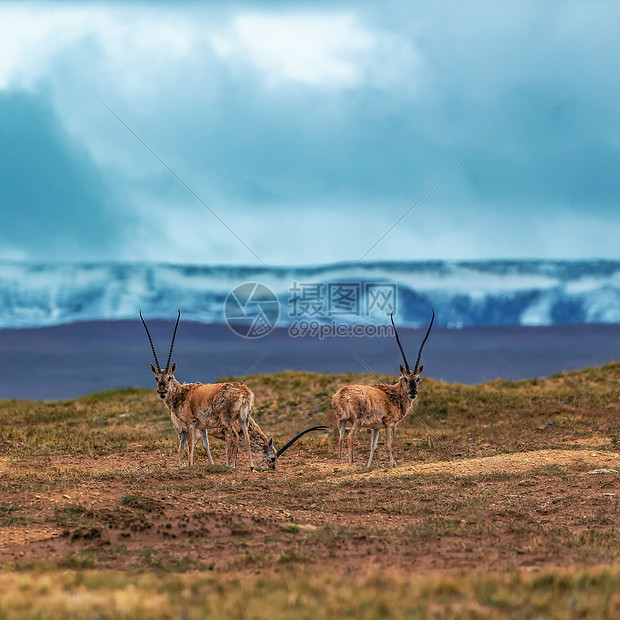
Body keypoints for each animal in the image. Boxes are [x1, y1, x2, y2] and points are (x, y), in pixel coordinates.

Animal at [140, 312, 254, 468]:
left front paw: (190, 465)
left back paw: (231, 466)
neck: (183, 394)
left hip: (228, 421)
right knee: (247, 438)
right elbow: (204, 445)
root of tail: (244, 392)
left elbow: (190, 446)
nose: (162, 392)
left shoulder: (191, 424)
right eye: (156, 378)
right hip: (244, 419)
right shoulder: (202, 427)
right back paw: (251, 466)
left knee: (235, 437)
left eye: (170, 377)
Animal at [332, 312, 434, 468]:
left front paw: (369, 466)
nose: (413, 392)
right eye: (405, 378)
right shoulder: (390, 424)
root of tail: (342, 395)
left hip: (341, 421)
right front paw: (393, 464)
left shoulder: (376, 427)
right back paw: (351, 462)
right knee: (350, 437)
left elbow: (373, 446)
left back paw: (341, 460)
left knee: (340, 438)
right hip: (357, 422)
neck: (395, 394)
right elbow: (390, 444)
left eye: (418, 378)